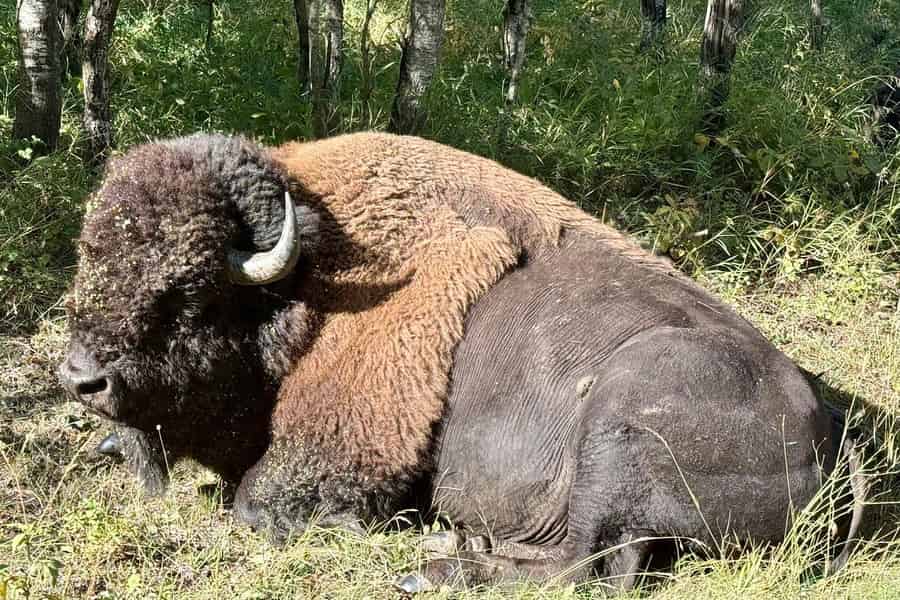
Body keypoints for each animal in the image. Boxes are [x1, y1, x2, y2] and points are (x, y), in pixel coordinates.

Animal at [59, 132, 863, 592]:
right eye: (91, 254)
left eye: (188, 288)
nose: (82, 379)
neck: (311, 286)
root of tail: (833, 432)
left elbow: (260, 504)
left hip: (620, 420)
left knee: (588, 566)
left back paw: (439, 560)